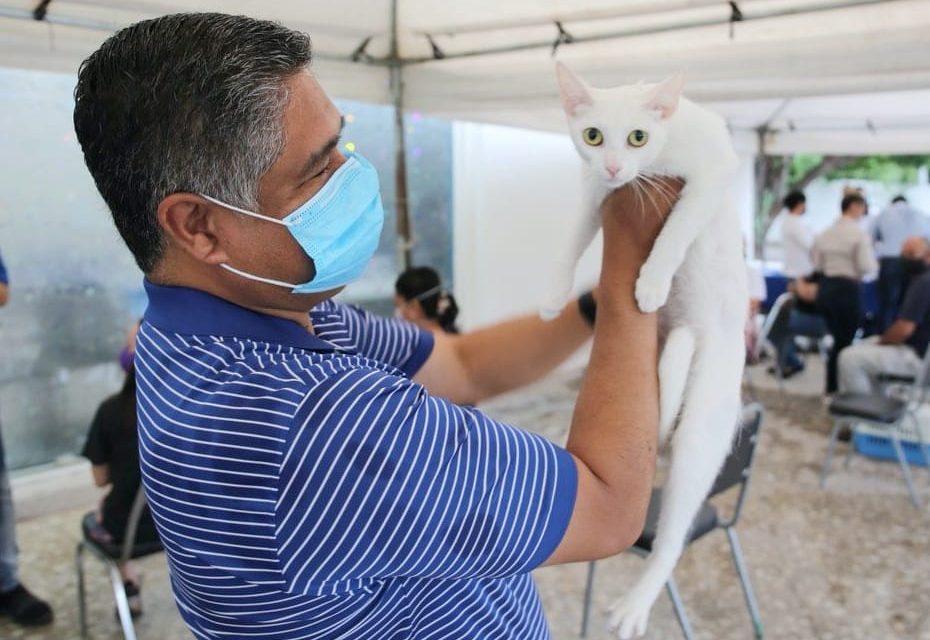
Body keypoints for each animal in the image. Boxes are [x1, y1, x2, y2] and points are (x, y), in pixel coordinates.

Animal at [544, 61, 748, 640]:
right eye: (593, 136)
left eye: (638, 136)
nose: (616, 165)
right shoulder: (593, 188)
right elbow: (571, 237)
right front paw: (553, 292)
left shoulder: (714, 172)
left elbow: (677, 229)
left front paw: (654, 279)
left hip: (699, 440)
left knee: (673, 539)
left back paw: (637, 602)